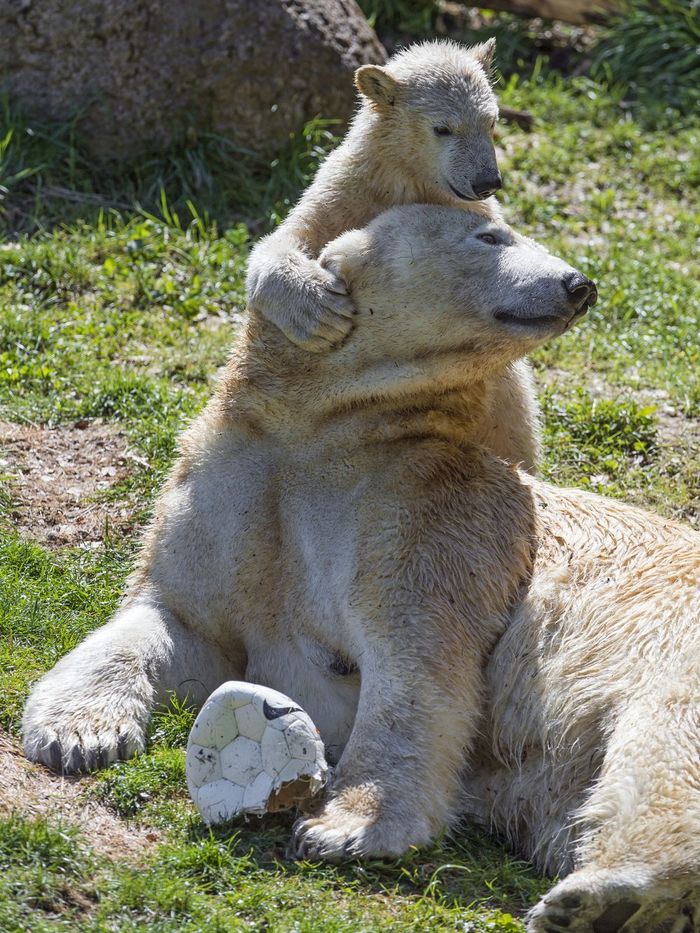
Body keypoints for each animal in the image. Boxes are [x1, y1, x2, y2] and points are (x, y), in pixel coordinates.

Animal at [23, 205, 698, 933]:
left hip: (667, 652)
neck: (328, 432)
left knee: (662, 749)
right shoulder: (230, 488)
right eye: (491, 236)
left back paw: (600, 896)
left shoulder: (432, 507)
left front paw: (343, 826)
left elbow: (416, 663)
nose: (578, 285)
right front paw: (74, 732)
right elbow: (178, 620)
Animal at [246, 38, 542, 471]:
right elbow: (289, 237)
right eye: (443, 128)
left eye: (492, 121)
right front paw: (318, 314)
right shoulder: (345, 191)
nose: (486, 181)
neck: (407, 180)